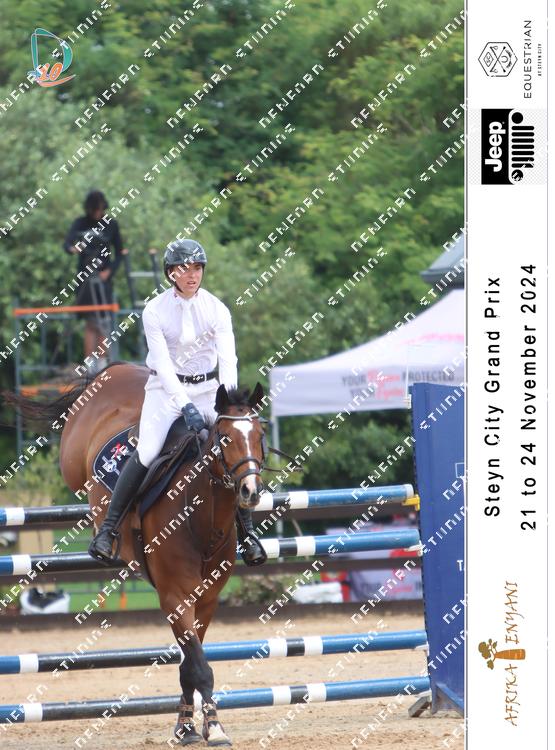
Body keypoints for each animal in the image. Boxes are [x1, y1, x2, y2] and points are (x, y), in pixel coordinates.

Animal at [3, 362, 269, 746]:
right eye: (224, 439)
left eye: (260, 436)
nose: (250, 491)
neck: (202, 517)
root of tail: (114, 370)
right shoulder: (175, 597)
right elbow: (200, 667)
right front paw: (214, 727)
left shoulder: (206, 600)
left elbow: (190, 664)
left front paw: (189, 725)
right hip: (75, 458)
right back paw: (103, 537)